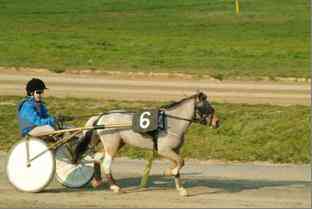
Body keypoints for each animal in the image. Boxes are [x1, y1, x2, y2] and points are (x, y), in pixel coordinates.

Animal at [83, 91, 219, 196]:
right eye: (207, 106)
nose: (217, 122)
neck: (170, 123)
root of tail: (101, 117)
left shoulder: (174, 150)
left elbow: (178, 165)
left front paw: (181, 189)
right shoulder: (164, 150)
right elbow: (181, 162)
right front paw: (169, 172)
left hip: (117, 143)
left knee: (97, 157)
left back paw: (97, 181)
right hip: (112, 144)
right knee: (106, 163)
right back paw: (115, 187)